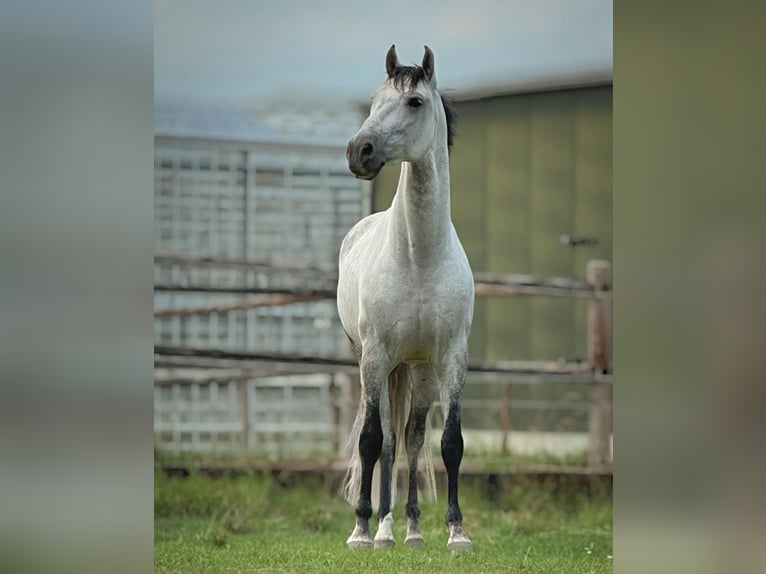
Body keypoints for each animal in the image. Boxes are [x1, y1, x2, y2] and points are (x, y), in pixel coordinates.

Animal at [337, 44, 474, 551]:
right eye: (375, 101)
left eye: (414, 102)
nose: (359, 151)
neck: (419, 257)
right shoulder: (376, 355)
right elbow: (371, 442)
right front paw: (362, 530)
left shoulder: (452, 358)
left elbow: (450, 444)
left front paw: (457, 533)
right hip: (380, 366)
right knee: (390, 442)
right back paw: (383, 529)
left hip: (418, 371)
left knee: (412, 441)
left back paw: (412, 530)